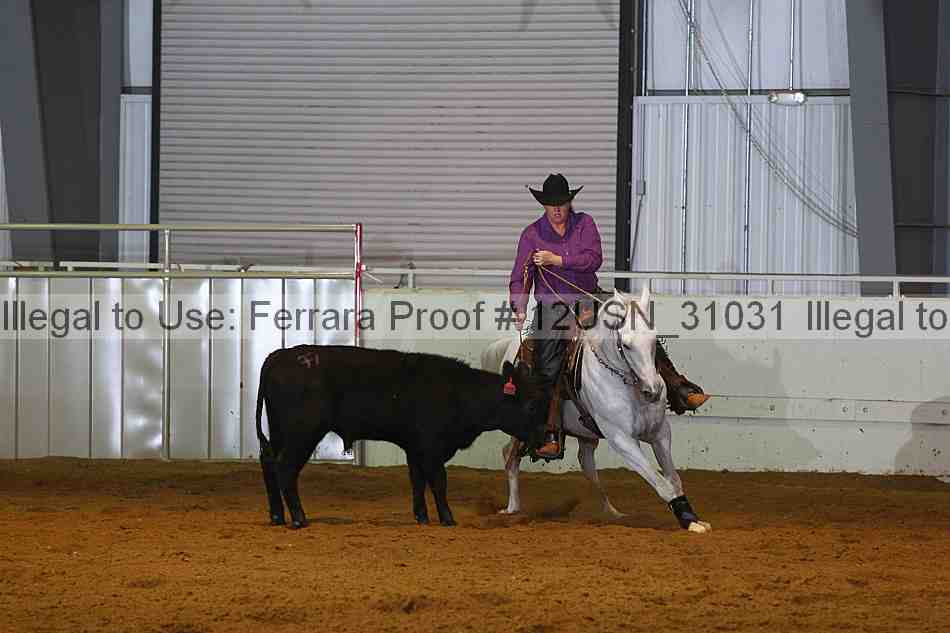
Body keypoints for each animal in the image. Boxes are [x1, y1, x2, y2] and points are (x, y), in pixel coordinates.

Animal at [481, 286, 711, 533]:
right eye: (626, 344)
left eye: (654, 340)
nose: (654, 390)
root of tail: (509, 347)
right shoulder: (622, 440)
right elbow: (662, 483)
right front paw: (689, 522)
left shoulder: (660, 433)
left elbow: (674, 479)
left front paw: (692, 516)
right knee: (510, 456)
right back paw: (512, 508)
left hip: (586, 437)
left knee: (587, 467)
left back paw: (613, 513)